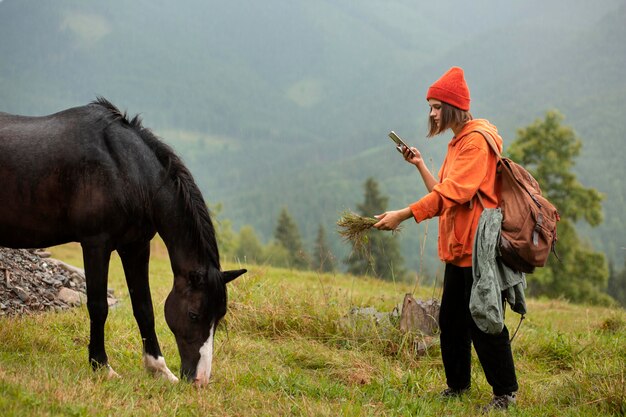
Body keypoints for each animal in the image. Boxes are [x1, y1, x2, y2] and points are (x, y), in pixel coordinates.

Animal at [0, 96, 245, 384]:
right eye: (193, 314)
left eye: (220, 316)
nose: (200, 380)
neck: (123, 169)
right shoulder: (96, 245)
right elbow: (98, 306)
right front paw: (101, 365)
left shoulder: (136, 247)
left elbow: (144, 307)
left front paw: (158, 369)